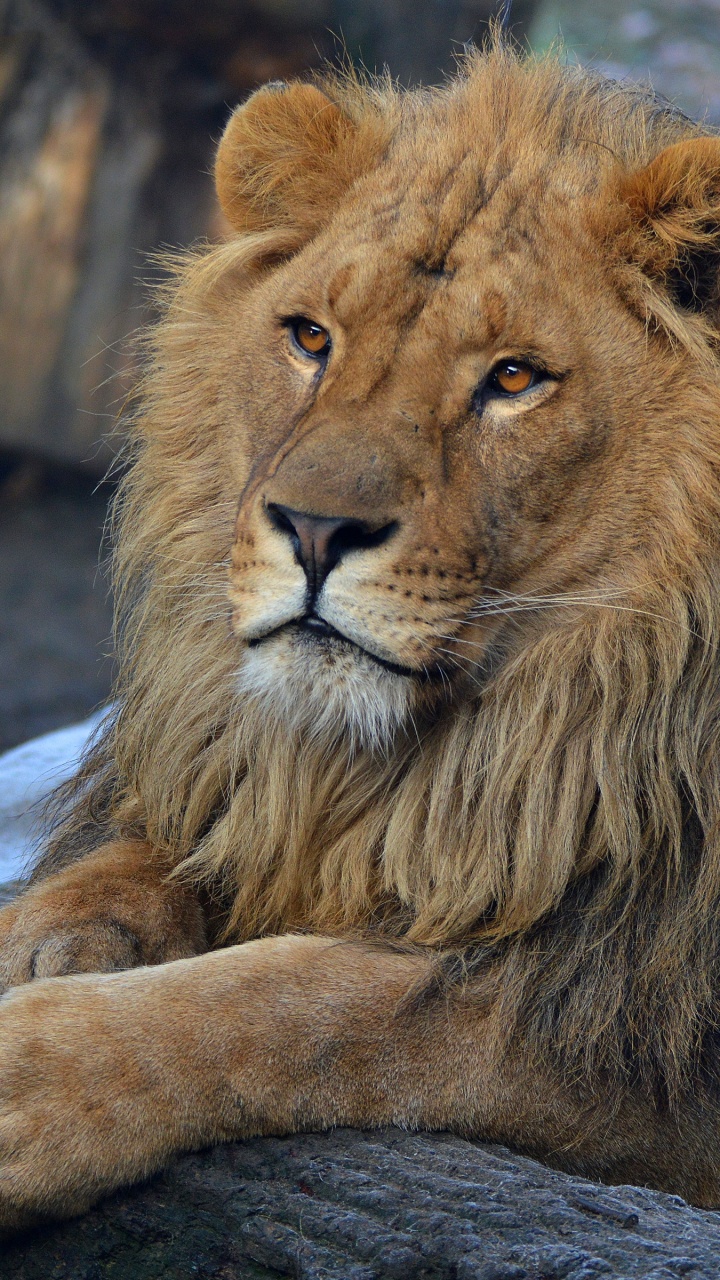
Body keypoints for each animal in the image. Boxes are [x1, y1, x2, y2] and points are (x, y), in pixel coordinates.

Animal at [2, 41, 720, 1232]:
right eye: (310, 338)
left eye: (514, 377)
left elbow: (317, 998)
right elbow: (154, 851)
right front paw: (40, 939)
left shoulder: (627, 1019)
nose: (314, 529)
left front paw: (31, 1075)